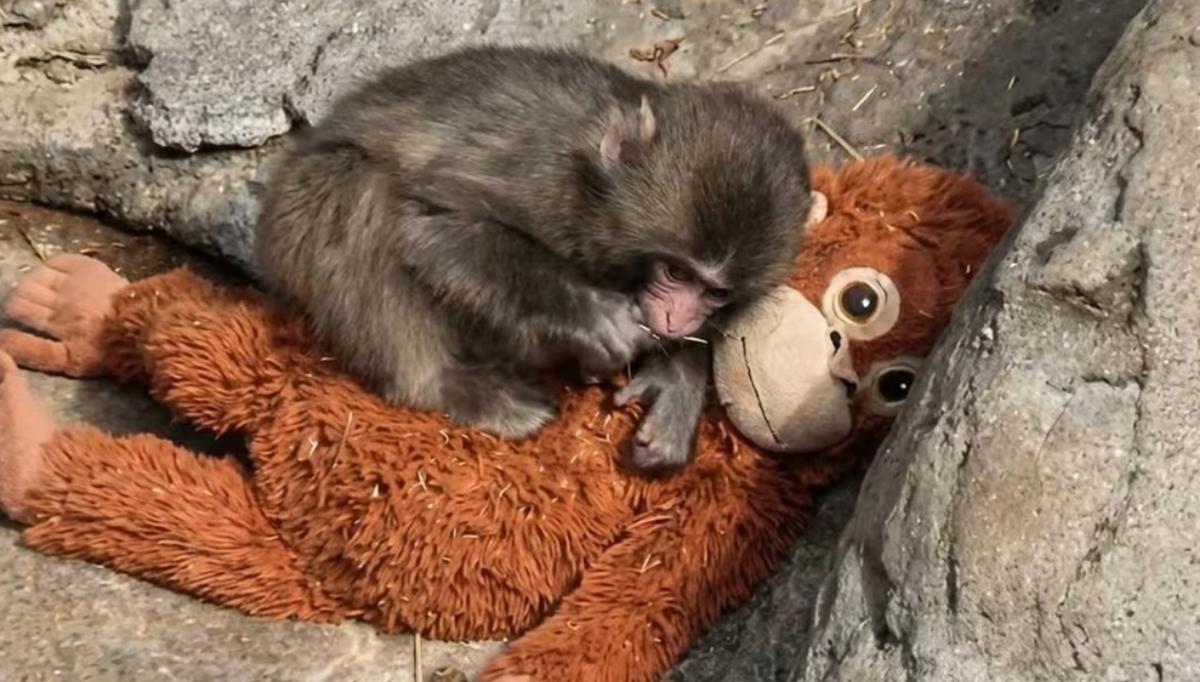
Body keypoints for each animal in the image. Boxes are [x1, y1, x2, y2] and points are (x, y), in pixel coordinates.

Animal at [254, 44, 813, 473]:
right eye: (676, 271)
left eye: (715, 292)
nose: (679, 317)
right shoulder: (538, 173)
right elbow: (433, 226)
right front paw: (595, 315)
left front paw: (676, 383)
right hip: (294, 219)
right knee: (359, 187)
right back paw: (442, 385)